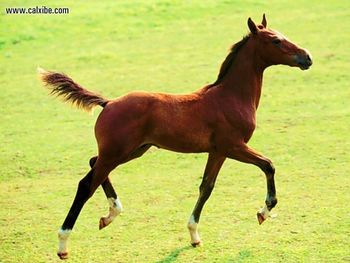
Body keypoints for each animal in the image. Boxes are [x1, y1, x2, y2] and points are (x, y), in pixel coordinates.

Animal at [39, 15, 314, 260]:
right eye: (276, 40)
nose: (307, 57)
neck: (230, 96)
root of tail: (108, 103)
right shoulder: (233, 146)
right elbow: (268, 165)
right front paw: (264, 211)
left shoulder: (217, 151)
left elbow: (206, 187)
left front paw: (194, 236)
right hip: (117, 152)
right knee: (86, 184)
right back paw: (63, 244)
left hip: (132, 150)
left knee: (93, 163)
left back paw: (110, 214)